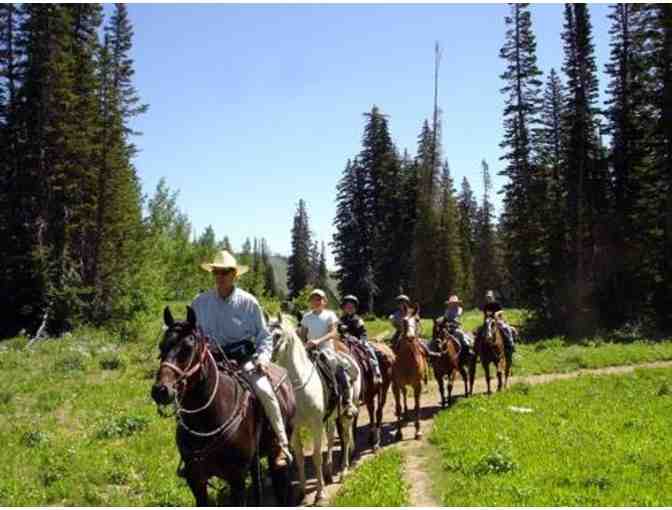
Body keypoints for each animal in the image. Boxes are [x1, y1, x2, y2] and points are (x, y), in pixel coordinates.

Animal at [154, 306, 298, 506]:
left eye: (187, 349)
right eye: (162, 346)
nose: (160, 390)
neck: (207, 423)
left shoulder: (236, 478)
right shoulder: (196, 480)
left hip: (277, 447)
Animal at [270, 312, 362, 504]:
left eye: (277, 335)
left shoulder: (315, 424)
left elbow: (316, 456)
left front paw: (320, 494)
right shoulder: (295, 427)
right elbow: (299, 458)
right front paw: (302, 493)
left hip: (346, 414)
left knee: (346, 438)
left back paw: (343, 470)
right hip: (331, 417)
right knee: (331, 438)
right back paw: (328, 472)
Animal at [388, 302, 426, 442]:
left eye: (417, 319)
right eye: (404, 321)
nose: (410, 337)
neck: (408, 359)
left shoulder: (417, 385)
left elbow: (417, 407)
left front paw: (418, 431)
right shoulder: (395, 385)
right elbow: (398, 408)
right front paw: (399, 433)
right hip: (401, 386)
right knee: (403, 395)